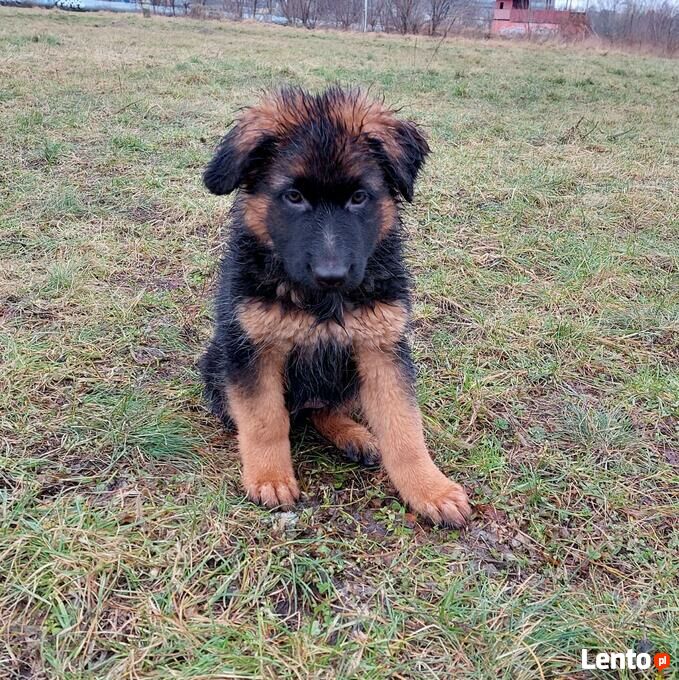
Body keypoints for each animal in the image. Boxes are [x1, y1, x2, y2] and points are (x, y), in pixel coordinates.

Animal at [200, 87, 471, 527]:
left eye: (359, 198)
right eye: (293, 197)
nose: (333, 275)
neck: (321, 304)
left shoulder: (381, 347)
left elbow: (404, 428)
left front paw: (430, 489)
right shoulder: (251, 349)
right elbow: (264, 420)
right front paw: (271, 477)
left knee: (324, 410)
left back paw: (355, 436)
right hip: (216, 361)